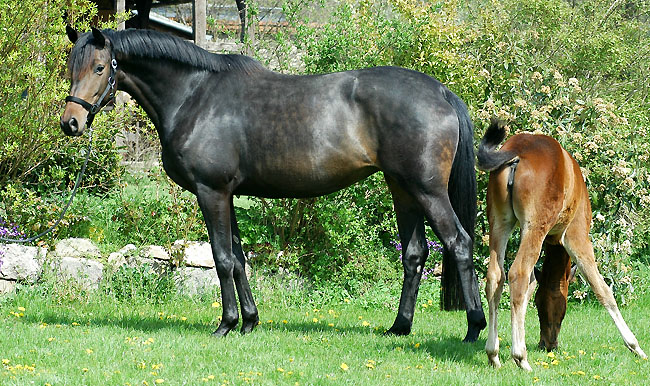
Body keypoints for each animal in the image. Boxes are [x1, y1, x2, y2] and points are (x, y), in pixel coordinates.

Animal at [62, 27, 486, 340]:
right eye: (71, 66)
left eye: (99, 67)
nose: (71, 123)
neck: (195, 97)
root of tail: (440, 92)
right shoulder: (228, 195)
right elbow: (238, 257)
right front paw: (249, 321)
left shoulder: (211, 191)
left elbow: (222, 258)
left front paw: (226, 325)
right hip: (403, 188)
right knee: (414, 254)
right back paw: (399, 327)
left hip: (428, 191)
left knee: (460, 244)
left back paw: (473, 328)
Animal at [476, 120, 644, 370]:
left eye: (541, 307)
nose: (548, 344)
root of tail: (516, 152)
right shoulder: (576, 236)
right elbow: (602, 288)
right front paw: (635, 346)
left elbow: (530, 287)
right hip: (534, 226)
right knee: (518, 273)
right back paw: (521, 357)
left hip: (500, 222)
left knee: (496, 276)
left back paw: (493, 354)